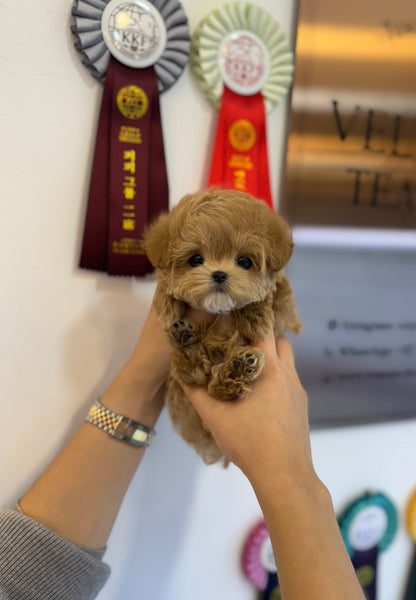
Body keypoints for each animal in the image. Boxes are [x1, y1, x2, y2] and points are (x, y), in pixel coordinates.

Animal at [143, 188, 300, 464]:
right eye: (196, 259)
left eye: (245, 262)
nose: (218, 274)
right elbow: (165, 285)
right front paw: (166, 304)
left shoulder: (283, 309)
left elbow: (270, 299)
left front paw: (254, 316)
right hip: (183, 381)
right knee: (194, 372)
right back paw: (187, 341)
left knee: (216, 388)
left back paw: (239, 369)